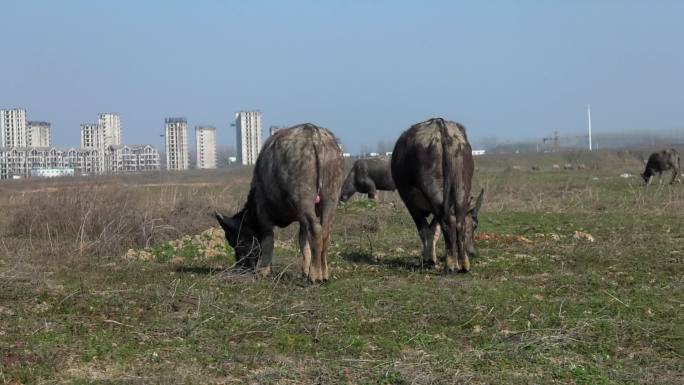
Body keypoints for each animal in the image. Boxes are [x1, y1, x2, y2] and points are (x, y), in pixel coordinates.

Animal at [215, 123, 344, 282]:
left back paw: (315, 275)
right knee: (325, 231)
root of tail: (315, 135)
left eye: (237, 242)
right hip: (331, 195)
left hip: (303, 197)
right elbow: (303, 241)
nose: (241, 267)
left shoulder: (263, 213)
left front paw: (263, 271)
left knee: (316, 230)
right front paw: (304, 271)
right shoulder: (301, 219)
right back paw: (324, 273)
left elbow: (268, 240)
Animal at [392, 117, 484, 272]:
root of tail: (440, 126)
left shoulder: (411, 203)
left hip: (434, 191)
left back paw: (451, 265)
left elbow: (425, 230)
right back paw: (464, 264)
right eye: (475, 225)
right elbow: (434, 230)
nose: (472, 251)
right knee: (458, 221)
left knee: (448, 222)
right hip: (461, 187)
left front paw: (428, 259)